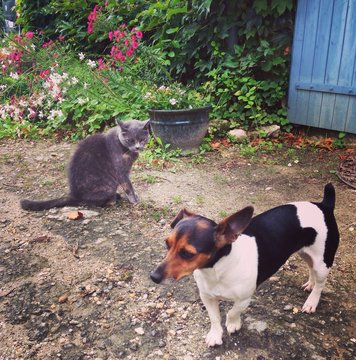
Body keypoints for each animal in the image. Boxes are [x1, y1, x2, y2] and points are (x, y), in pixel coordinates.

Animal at [21, 120, 149, 211]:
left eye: (143, 139)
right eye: (130, 140)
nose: (138, 147)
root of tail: (74, 195)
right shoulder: (121, 171)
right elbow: (128, 186)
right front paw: (134, 200)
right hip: (108, 185)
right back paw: (114, 198)